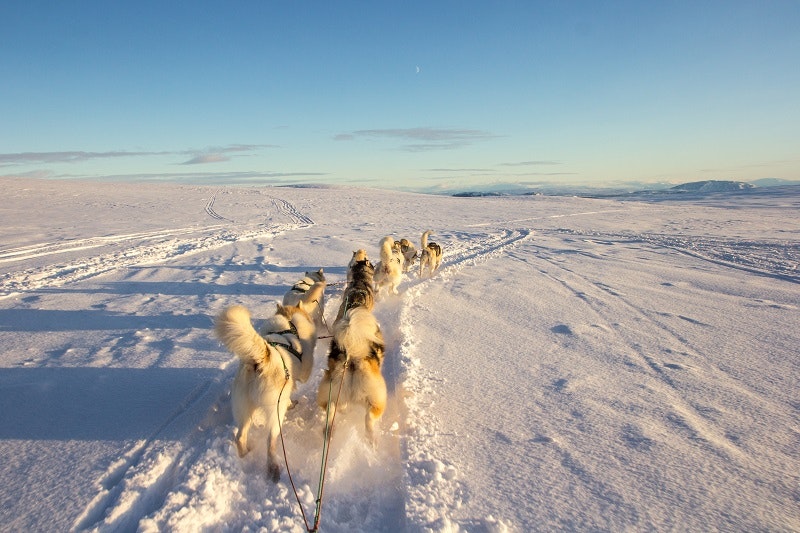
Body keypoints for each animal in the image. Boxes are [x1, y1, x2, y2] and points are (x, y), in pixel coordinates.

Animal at [214, 302, 318, 480]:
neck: (289, 325)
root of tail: (263, 358)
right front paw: (292, 403)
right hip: (276, 412)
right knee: (270, 441)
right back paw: (273, 467)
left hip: (244, 408)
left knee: (240, 437)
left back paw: (245, 454)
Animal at [314, 306, 386, 442]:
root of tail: (352, 357)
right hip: (376, 398)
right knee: (369, 417)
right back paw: (371, 439)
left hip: (332, 390)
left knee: (332, 409)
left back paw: (330, 432)